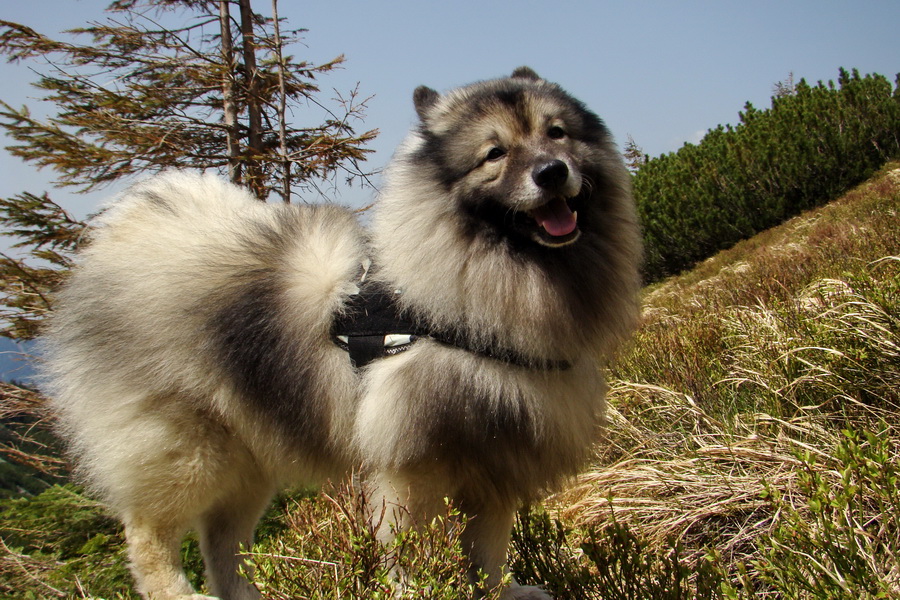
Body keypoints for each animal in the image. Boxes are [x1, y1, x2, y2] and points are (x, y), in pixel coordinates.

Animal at [42, 68, 644, 596]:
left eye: (556, 133)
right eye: (494, 154)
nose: (552, 172)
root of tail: (119, 244)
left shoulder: (499, 456)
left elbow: (490, 553)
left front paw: (503, 592)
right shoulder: (412, 464)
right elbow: (410, 548)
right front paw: (415, 591)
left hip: (250, 460)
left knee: (222, 542)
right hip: (187, 452)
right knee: (149, 532)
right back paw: (178, 593)